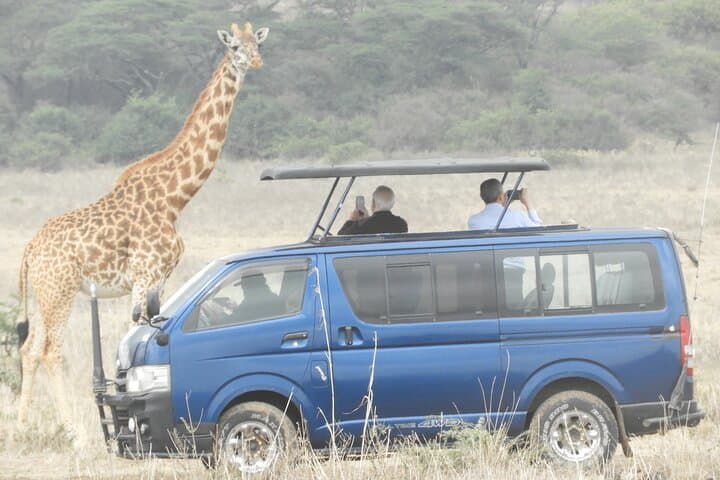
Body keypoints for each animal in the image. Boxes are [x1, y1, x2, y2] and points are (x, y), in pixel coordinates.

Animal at [16, 22, 269, 435]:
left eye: (257, 44)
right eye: (234, 47)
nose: (256, 62)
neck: (175, 199)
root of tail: (30, 250)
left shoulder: (160, 280)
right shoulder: (142, 274)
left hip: (41, 296)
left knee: (29, 349)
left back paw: (22, 425)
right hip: (60, 292)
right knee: (51, 351)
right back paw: (75, 434)